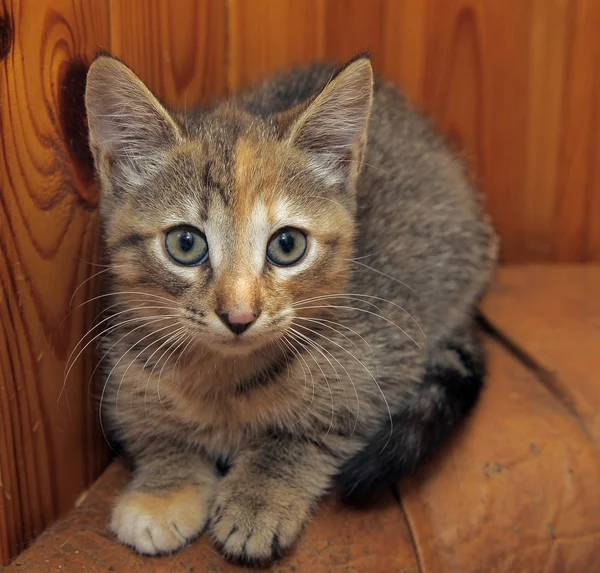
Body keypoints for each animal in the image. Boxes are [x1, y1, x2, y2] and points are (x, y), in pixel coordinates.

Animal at [84, 52, 496, 564]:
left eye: (287, 246)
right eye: (185, 244)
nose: (239, 315)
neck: (223, 379)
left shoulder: (386, 354)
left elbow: (306, 434)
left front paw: (259, 495)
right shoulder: (126, 371)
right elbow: (152, 431)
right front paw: (163, 488)